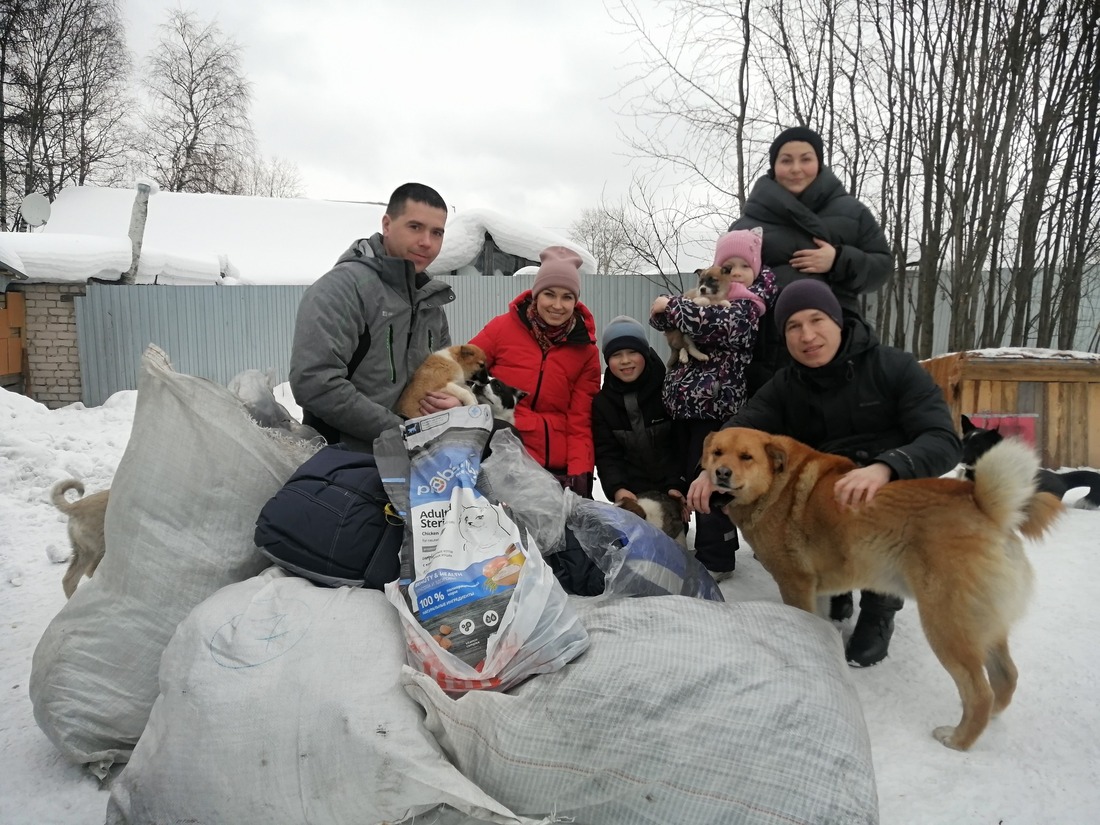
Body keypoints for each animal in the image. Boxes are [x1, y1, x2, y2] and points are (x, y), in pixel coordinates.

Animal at [699, 429, 1060, 752]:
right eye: (717, 452)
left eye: (746, 457)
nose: (721, 473)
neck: (777, 485)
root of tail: (987, 508)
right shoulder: (816, 589)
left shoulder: (795, 583)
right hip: (982, 626)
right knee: (1006, 676)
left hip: (946, 626)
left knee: (979, 693)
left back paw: (959, 739)